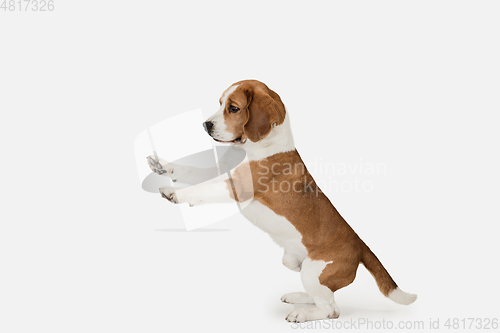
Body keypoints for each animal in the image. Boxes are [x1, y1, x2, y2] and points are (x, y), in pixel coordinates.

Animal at [146, 79, 416, 320]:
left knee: (331, 310)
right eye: (220, 103)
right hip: (295, 264)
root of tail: (359, 244)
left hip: (312, 271)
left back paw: (302, 314)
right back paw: (298, 297)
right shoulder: (222, 171)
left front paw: (174, 193)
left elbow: (201, 189)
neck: (260, 146)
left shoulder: (237, 188)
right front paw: (163, 166)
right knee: (324, 296)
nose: (205, 124)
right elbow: (191, 172)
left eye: (233, 108)